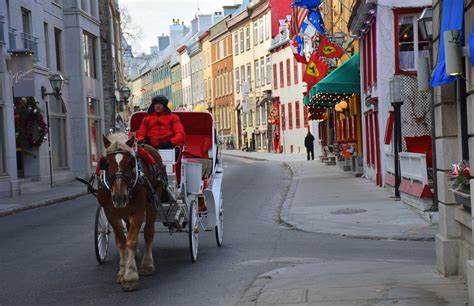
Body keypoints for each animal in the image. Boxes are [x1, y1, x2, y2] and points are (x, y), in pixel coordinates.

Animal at [98, 134, 165, 292]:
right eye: (107, 163)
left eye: (130, 163)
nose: (119, 197)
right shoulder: (110, 213)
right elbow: (121, 241)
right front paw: (122, 271)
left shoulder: (138, 211)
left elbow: (131, 241)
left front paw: (130, 277)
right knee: (129, 229)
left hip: (153, 201)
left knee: (148, 233)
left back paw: (147, 264)